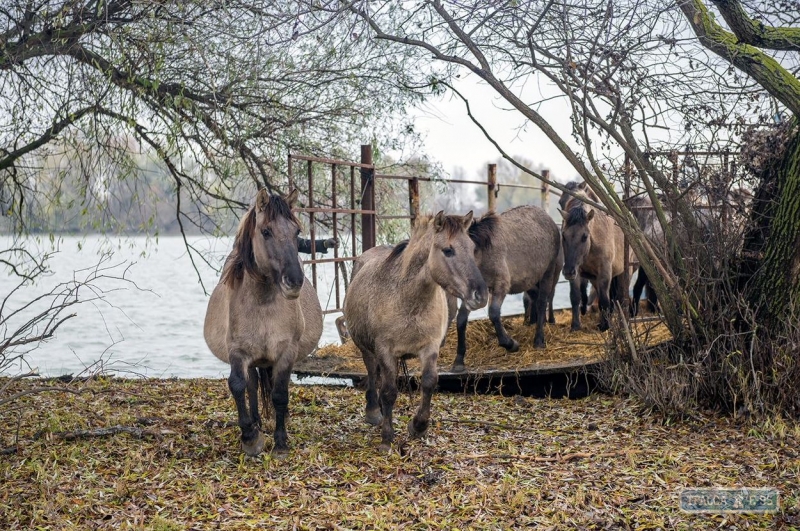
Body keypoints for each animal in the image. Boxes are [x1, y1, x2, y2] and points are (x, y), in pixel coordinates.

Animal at [203, 190, 322, 458]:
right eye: (266, 231)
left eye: (296, 231)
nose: (294, 281)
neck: (263, 304)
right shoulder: (238, 352)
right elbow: (238, 385)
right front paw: (250, 437)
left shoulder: (286, 352)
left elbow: (279, 394)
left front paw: (280, 442)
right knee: (252, 384)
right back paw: (256, 423)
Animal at [344, 212, 488, 454]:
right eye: (448, 250)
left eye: (472, 248)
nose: (481, 295)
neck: (408, 300)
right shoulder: (385, 350)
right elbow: (389, 391)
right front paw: (387, 438)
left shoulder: (430, 347)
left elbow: (429, 382)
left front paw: (418, 426)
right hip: (367, 349)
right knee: (373, 374)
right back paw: (373, 411)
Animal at [450, 206, 564, 372]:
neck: (484, 252)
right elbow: (461, 319)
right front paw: (459, 360)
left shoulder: (500, 286)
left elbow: (494, 313)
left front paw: (510, 344)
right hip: (531, 281)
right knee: (534, 300)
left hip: (548, 273)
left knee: (543, 302)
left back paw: (538, 340)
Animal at [560, 195, 636, 330]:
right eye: (564, 235)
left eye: (584, 236)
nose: (568, 271)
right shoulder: (578, 273)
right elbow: (575, 297)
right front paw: (575, 326)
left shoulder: (604, 272)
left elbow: (604, 300)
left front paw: (605, 327)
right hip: (594, 279)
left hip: (625, 272)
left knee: (621, 297)